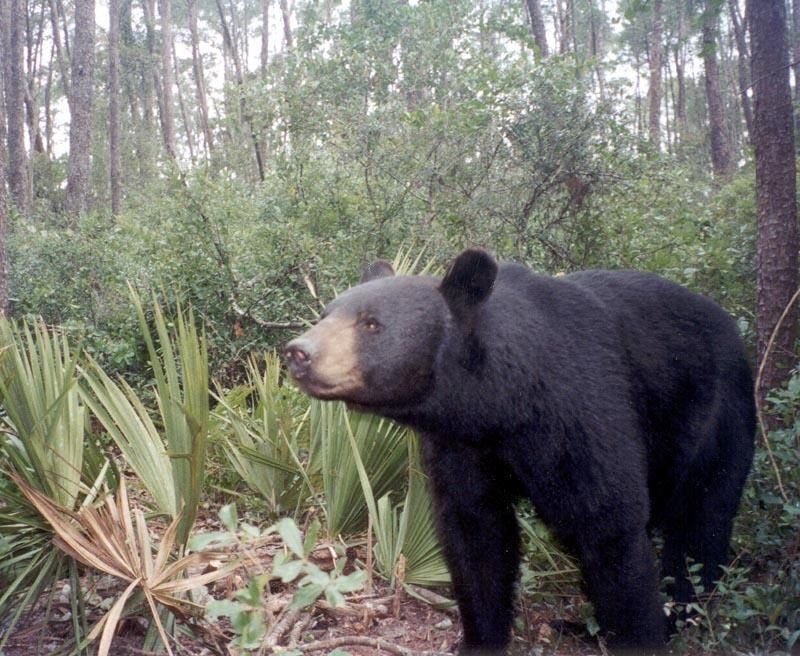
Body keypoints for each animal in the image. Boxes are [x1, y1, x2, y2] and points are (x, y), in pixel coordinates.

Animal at [284, 248, 756, 653]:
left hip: (716, 416)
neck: (503, 404)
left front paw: (639, 633)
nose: (298, 352)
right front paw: (480, 639)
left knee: (701, 523)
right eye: (325, 314)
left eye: (370, 324)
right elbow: (476, 533)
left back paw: (675, 613)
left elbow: (610, 525)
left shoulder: (584, 411)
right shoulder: (462, 444)